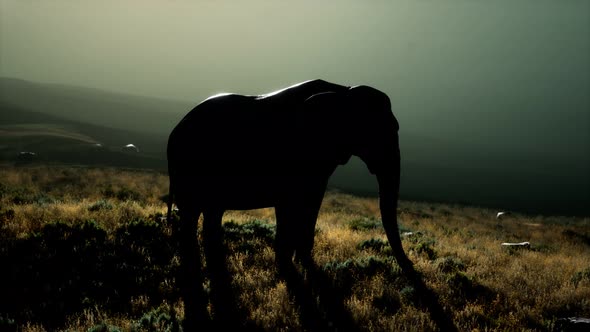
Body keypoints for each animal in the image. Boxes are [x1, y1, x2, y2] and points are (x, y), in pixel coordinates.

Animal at [166, 79, 416, 328]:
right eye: (379, 131)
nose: (411, 265)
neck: (343, 91)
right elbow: (288, 205)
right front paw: (288, 269)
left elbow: (313, 202)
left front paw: (302, 261)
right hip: (188, 169)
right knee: (190, 216)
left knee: (212, 213)